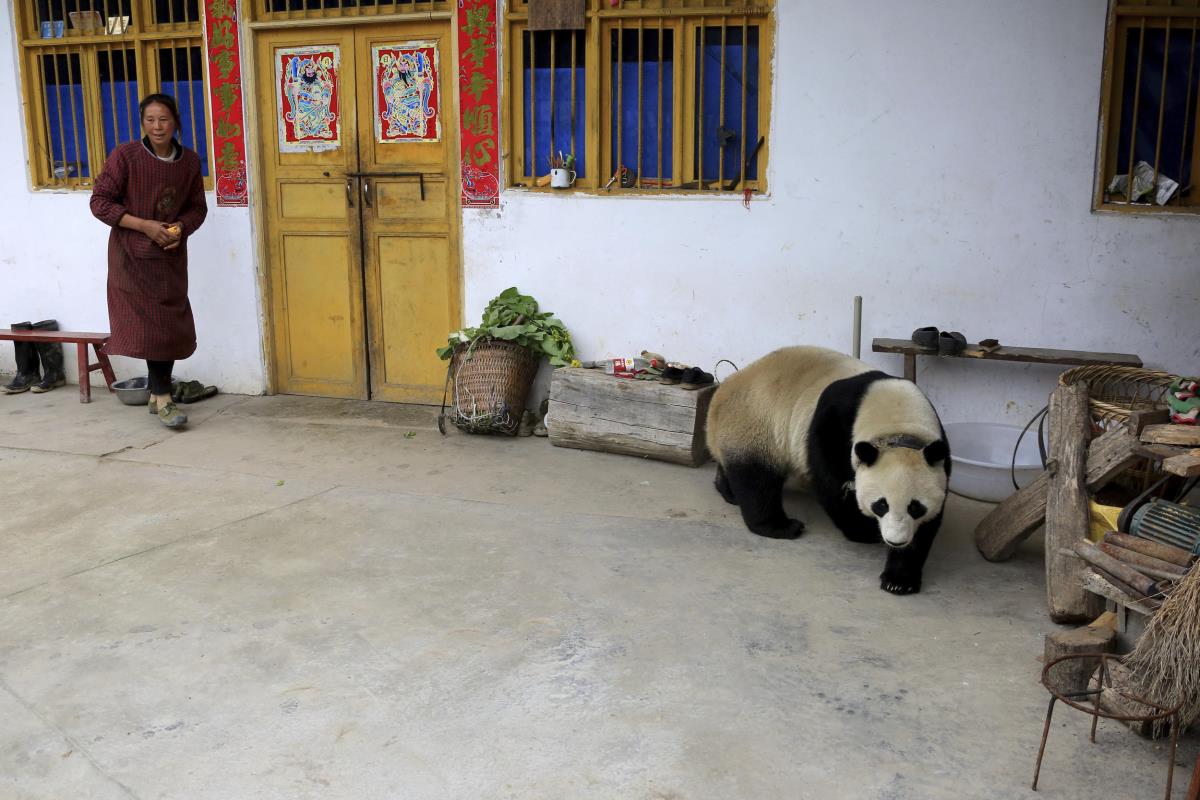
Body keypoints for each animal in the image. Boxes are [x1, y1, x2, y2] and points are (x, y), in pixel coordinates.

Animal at [705, 346, 951, 595]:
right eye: (881, 505)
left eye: (916, 507)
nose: (896, 541)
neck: (897, 420)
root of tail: (726, 386)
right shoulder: (833, 425)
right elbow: (831, 484)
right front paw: (863, 531)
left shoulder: (937, 456)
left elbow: (929, 522)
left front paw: (899, 579)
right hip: (754, 423)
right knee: (756, 480)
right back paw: (781, 526)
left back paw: (728, 491)